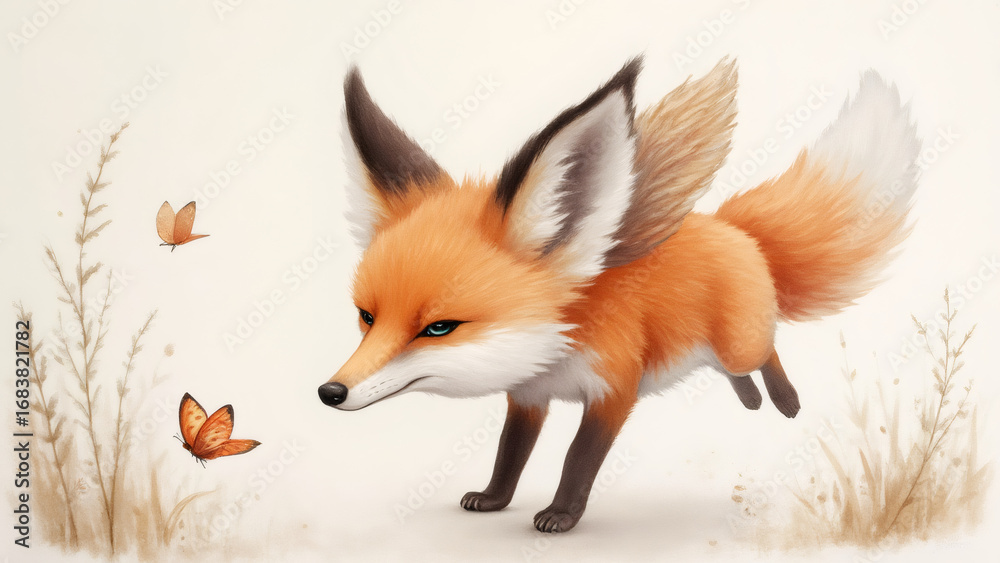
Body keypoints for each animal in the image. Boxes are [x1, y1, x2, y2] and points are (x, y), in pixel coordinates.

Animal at [318, 56, 920, 533]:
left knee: (764, 351)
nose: (330, 392)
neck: (558, 348)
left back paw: (783, 399)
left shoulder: (613, 390)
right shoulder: (528, 395)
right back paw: (750, 399)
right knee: (736, 369)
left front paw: (561, 515)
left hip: (737, 343)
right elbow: (510, 453)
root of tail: (734, 229)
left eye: (438, 327)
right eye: (367, 316)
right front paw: (494, 498)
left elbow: (577, 459)